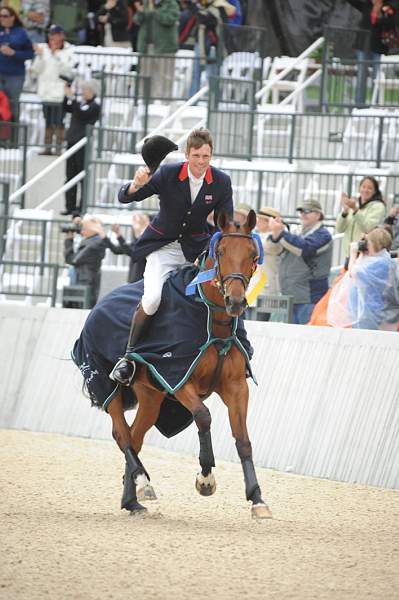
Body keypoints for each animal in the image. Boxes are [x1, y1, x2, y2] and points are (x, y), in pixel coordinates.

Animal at [108, 212, 274, 520]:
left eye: (253, 254)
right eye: (221, 252)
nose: (235, 302)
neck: (214, 324)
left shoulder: (236, 387)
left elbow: (243, 439)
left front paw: (257, 499)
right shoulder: (178, 378)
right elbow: (203, 416)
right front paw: (206, 479)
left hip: (151, 397)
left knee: (135, 437)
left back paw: (133, 500)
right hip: (107, 386)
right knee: (121, 434)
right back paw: (143, 483)